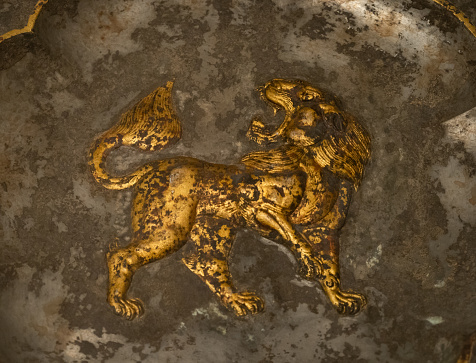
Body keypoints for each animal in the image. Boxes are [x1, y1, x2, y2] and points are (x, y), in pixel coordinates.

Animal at [90, 78, 372, 320]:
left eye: (307, 95)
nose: (271, 83)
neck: (318, 164)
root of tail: (149, 167)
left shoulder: (326, 231)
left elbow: (330, 268)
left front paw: (339, 298)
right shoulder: (260, 209)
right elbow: (295, 235)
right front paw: (309, 260)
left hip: (215, 230)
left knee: (203, 263)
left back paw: (238, 301)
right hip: (170, 228)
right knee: (121, 256)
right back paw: (120, 303)